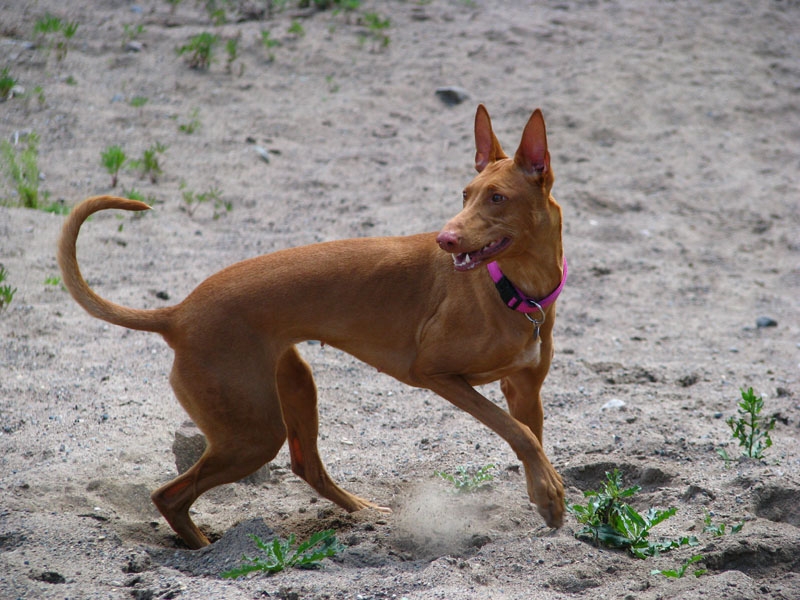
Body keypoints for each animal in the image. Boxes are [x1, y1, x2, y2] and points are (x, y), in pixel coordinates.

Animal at [57, 104, 564, 548]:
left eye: (497, 197)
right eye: (465, 194)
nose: (446, 239)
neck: (516, 291)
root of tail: (178, 313)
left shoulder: (525, 391)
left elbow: (532, 440)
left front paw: (546, 493)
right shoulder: (434, 373)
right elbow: (519, 435)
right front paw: (550, 493)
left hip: (293, 386)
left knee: (307, 468)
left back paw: (360, 510)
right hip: (253, 433)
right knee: (169, 495)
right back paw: (202, 549)